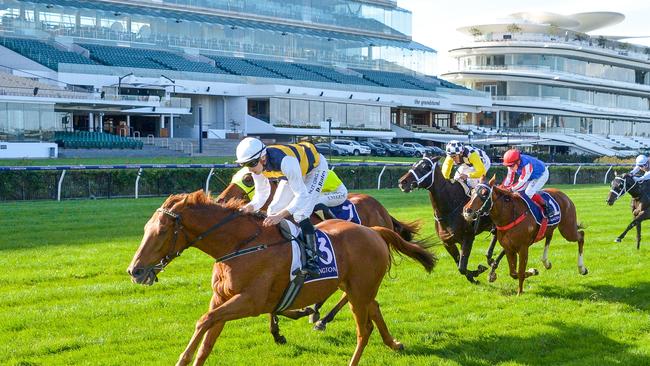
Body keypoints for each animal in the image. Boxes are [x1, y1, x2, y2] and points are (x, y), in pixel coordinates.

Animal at [125, 192, 436, 366]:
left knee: (364, 329)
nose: (134, 270)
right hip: (360, 288)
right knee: (375, 309)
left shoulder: (251, 301)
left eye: (162, 231)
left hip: (359, 291)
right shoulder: (222, 299)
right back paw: (393, 343)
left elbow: (204, 320)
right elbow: (207, 338)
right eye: (145, 228)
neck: (239, 245)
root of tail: (374, 230)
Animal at [392, 154, 494, 284]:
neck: (449, 208)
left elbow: (462, 265)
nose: (402, 182)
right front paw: (473, 275)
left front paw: (477, 271)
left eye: (425, 167)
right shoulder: (447, 242)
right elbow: (459, 264)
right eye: (414, 164)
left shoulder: (468, 238)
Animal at [460, 177, 588, 294]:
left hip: (567, 229)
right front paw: (532, 271)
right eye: (472, 192)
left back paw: (582, 268)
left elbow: (520, 271)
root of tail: (563, 195)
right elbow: (513, 272)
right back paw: (546, 262)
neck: (509, 215)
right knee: (549, 236)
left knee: (581, 235)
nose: (467, 211)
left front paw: (520, 292)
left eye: (485, 193)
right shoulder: (509, 248)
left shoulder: (523, 248)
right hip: (552, 228)